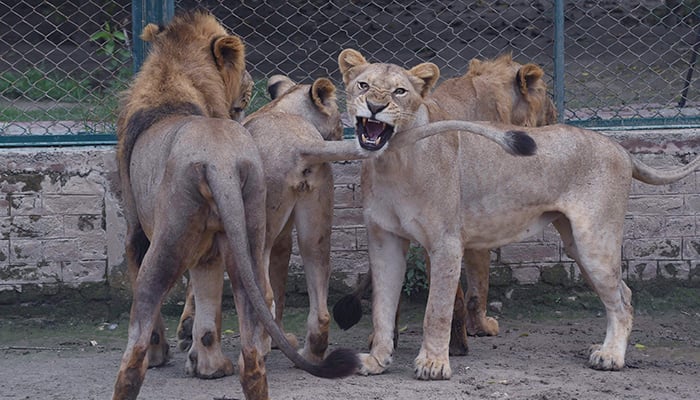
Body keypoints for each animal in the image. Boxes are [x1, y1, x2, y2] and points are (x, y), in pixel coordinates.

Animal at [112, 10, 360, 398]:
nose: (250, 80)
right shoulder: (276, 238)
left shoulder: (141, 233)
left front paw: (181, 350)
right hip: (307, 228)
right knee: (310, 296)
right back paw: (302, 352)